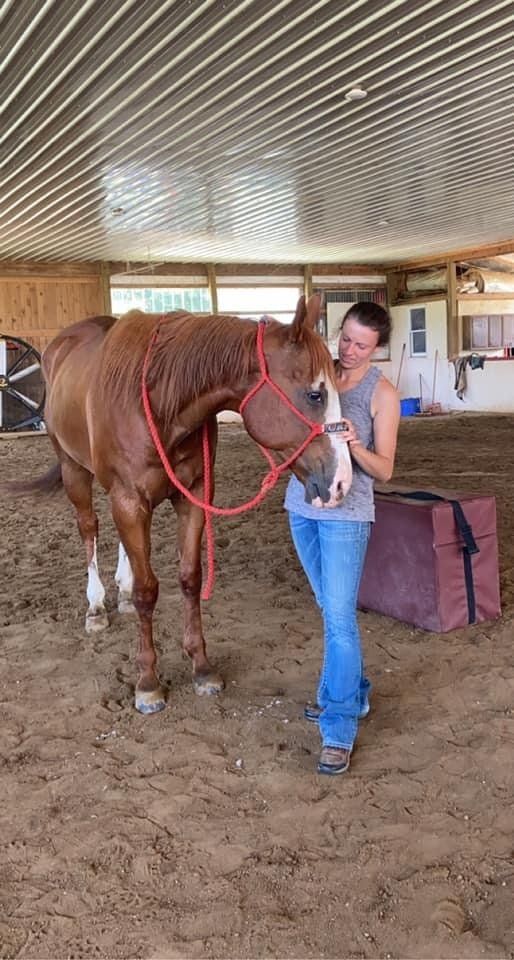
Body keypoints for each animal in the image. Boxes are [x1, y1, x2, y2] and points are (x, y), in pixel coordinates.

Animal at [10, 294, 353, 714]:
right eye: (315, 394)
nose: (342, 482)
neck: (162, 403)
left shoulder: (193, 496)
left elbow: (190, 578)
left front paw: (201, 668)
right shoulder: (129, 499)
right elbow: (148, 591)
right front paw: (147, 682)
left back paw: (121, 594)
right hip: (74, 470)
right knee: (89, 529)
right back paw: (96, 606)